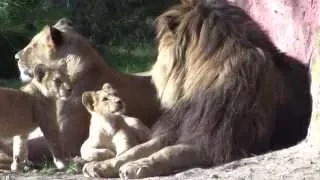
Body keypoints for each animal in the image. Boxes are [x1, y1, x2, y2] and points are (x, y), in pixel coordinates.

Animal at [82, 0, 310, 178]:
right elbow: (140, 148)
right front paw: (102, 165)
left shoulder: (216, 141)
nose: (153, 70)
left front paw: (138, 166)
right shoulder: (182, 126)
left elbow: (170, 152)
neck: (201, 80)